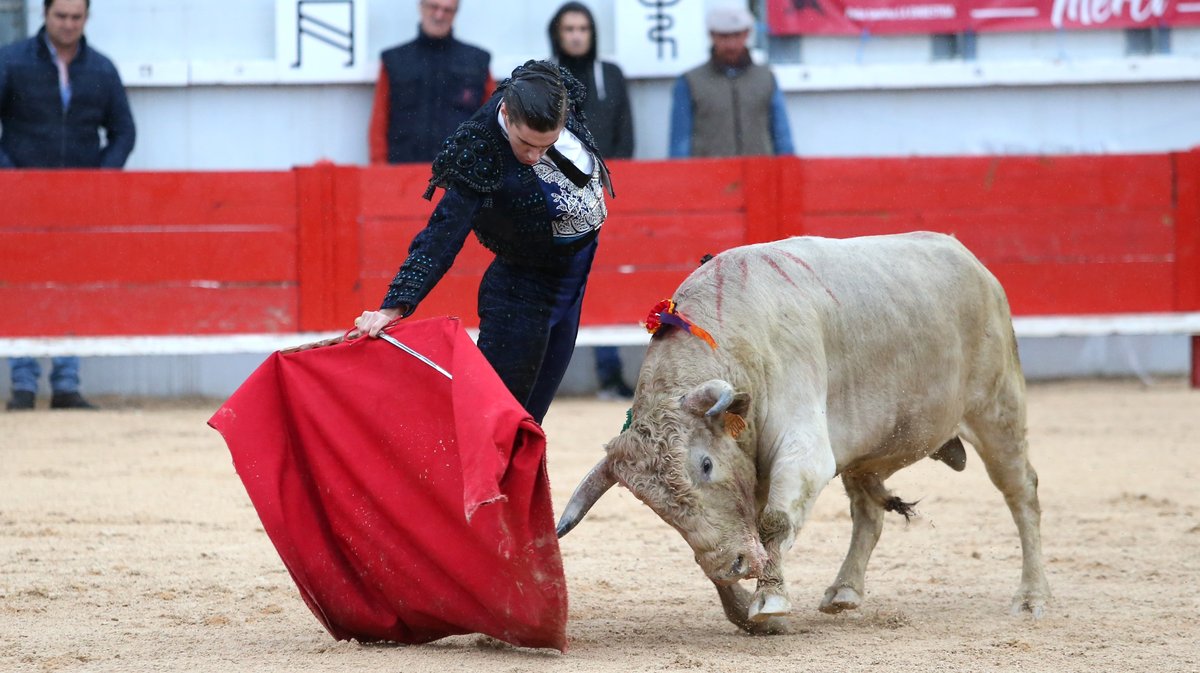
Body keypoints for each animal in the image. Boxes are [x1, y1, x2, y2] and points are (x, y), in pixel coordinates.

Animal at [556, 230, 1046, 628]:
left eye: (706, 464)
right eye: (655, 506)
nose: (733, 565)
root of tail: (970, 259)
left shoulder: (802, 449)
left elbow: (772, 521)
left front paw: (769, 601)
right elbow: (733, 535)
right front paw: (744, 611)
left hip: (998, 411)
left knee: (1022, 492)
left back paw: (1031, 597)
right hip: (869, 449)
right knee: (868, 512)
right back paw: (844, 591)